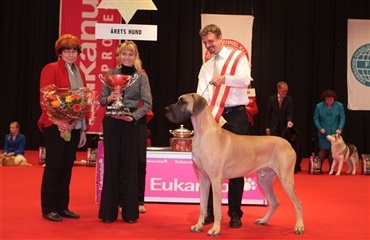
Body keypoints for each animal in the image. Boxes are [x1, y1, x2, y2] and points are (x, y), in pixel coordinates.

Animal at [165, 93, 304, 236]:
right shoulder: (203, 179)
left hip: (286, 179)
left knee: (297, 203)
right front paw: (198, 225)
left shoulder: (216, 180)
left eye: (182, 102)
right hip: (264, 180)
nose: (166, 110)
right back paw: (264, 220)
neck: (202, 131)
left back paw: (299, 226)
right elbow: (202, 206)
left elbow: (217, 208)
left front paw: (215, 229)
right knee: (274, 202)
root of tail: (287, 142)